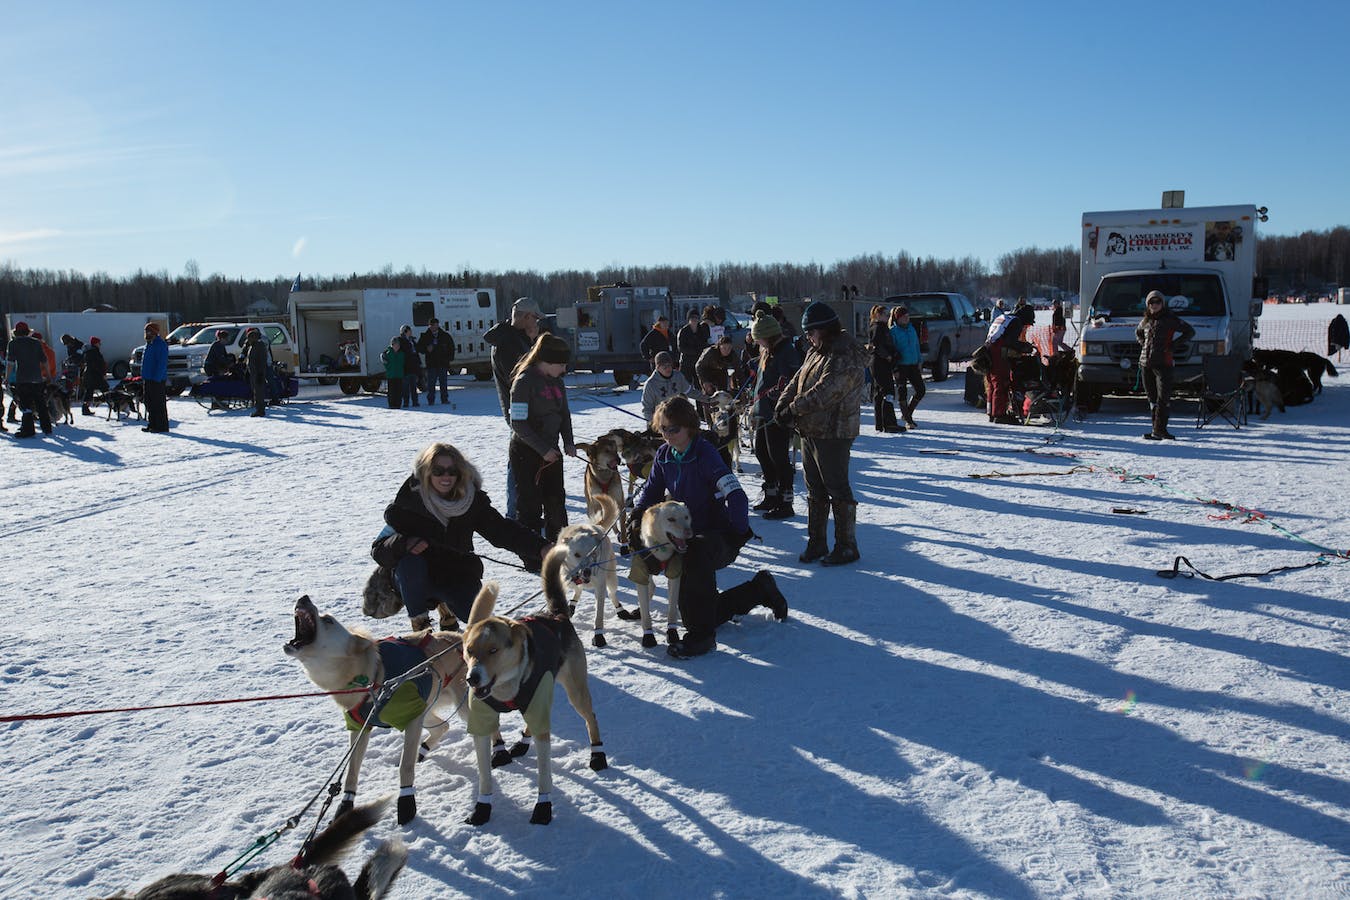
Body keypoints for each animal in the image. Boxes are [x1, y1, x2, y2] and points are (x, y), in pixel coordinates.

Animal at [282, 593, 472, 825]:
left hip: (456, 706)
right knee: (443, 726)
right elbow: (351, 772)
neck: (371, 678)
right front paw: (345, 806)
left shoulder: (412, 719)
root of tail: (461, 637)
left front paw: (406, 802)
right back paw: (422, 750)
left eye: (328, 620)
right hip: (425, 710)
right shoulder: (360, 728)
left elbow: (405, 767)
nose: (304, 597)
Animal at [464, 545, 612, 825]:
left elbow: (544, 773)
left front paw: (543, 807)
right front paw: (482, 808)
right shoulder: (481, 724)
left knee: (592, 718)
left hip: (575, 692)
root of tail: (556, 615)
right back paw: (522, 742)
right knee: (533, 722)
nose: (472, 678)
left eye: (493, 650)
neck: (505, 689)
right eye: (469, 650)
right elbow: (484, 776)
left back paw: (597, 754)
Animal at [550, 493, 623, 647]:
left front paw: (599, 636)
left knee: (612, 594)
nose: (587, 571)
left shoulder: (600, 587)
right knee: (578, 589)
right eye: (577, 554)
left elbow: (598, 615)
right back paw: (572, 604)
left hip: (612, 579)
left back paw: (621, 610)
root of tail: (597, 525)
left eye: (593, 553)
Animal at [626, 499, 691, 647]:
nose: (688, 532)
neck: (661, 548)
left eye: (686, 517)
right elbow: (645, 613)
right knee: (650, 587)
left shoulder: (674, 575)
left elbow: (672, 609)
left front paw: (672, 632)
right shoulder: (640, 573)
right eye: (671, 519)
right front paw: (648, 635)